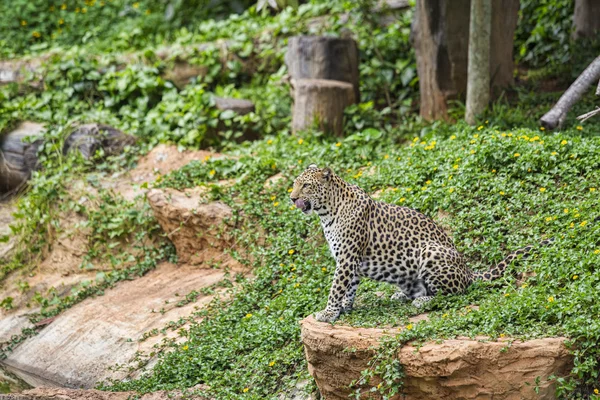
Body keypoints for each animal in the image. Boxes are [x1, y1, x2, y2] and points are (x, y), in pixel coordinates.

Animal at [290, 164, 548, 324]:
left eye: (306, 186)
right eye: (294, 184)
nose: (292, 198)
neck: (327, 212)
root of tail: (468, 271)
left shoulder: (347, 258)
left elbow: (336, 286)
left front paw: (328, 312)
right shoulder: (350, 260)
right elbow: (349, 287)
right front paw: (344, 307)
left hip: (430, 251)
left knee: (454, 293)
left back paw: (423, 301)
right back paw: (402, 295)